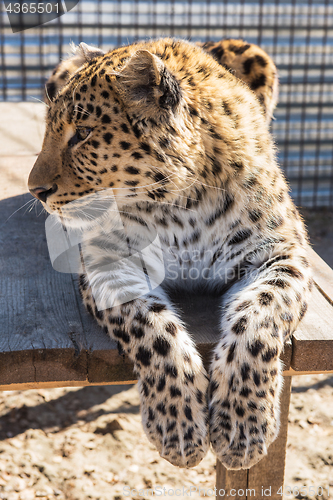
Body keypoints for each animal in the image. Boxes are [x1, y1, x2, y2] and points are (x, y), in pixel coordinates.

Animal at [28, 38, 312, 468]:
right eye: (48, 131)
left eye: (84, 133)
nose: (35, 190)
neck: (180, 203)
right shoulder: (107, 259)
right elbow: (151, 329)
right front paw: (177, 427)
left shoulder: (282, 252)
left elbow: (259, 320)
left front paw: (243, 428)